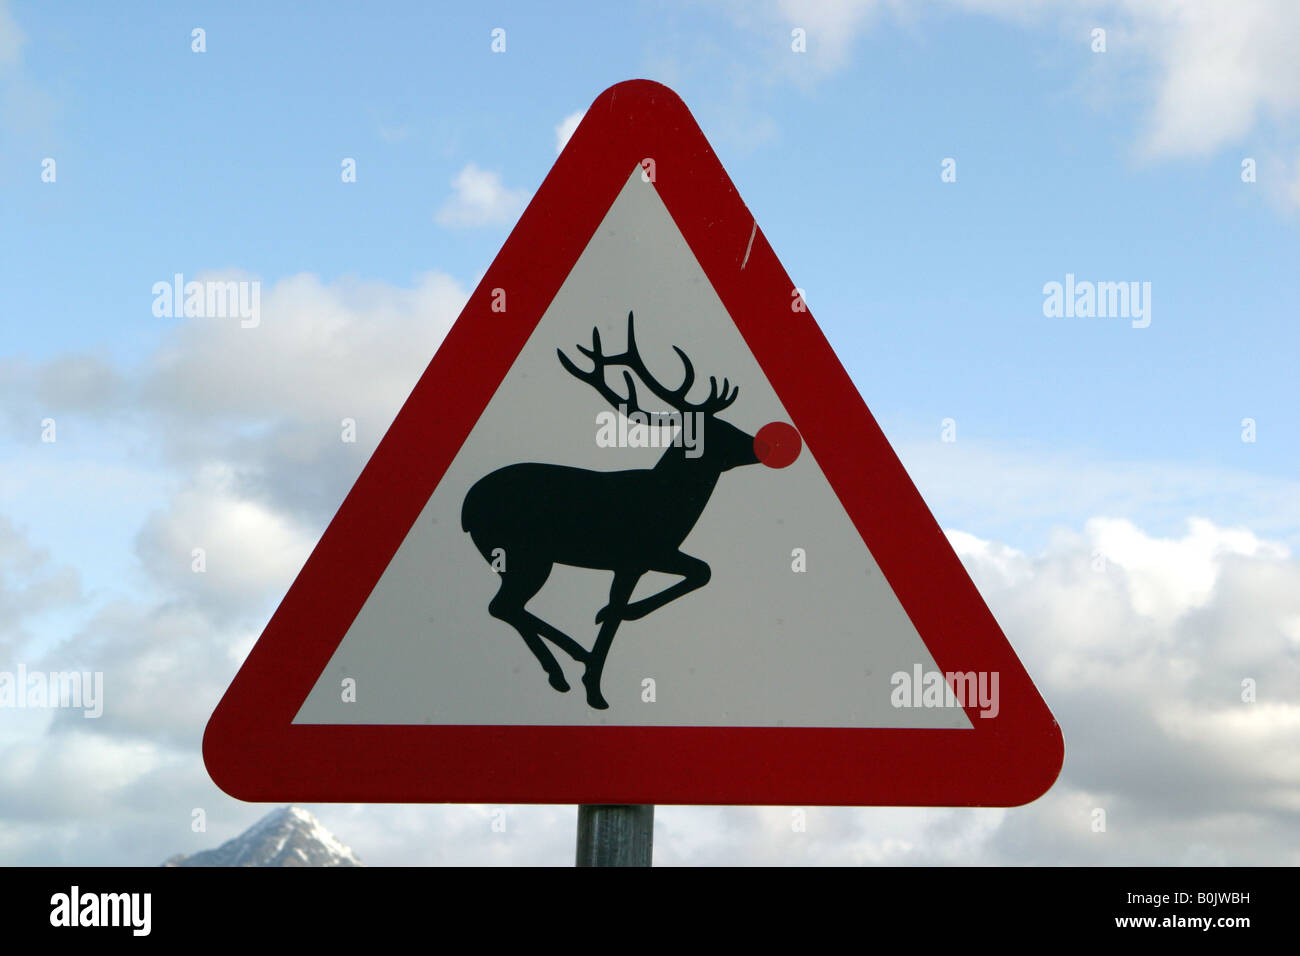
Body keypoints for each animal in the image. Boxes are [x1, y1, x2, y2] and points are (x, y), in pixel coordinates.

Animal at [461, 311, 797, 709]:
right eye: (720, 430)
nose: (763, 444)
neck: (669, 502)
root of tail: (466, 507)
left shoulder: (646, 558)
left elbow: (699, 572)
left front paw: (600, 646)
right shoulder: (639, 554)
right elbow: (686, 578)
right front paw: (595, 687)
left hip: (509, 556)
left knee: (507, 606)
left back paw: (565, 666)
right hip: (525, 552)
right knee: (503, 605)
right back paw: (571, 661)